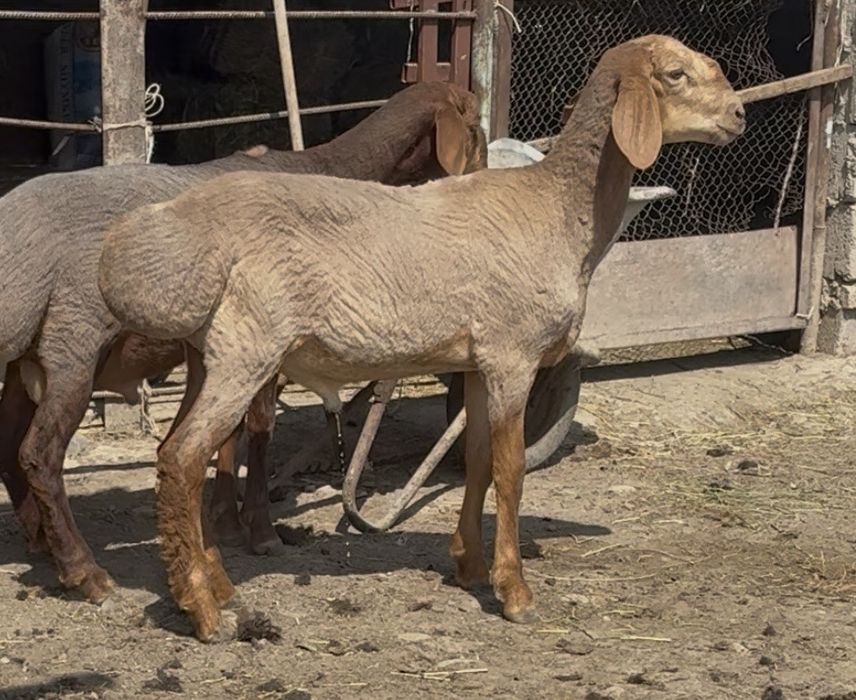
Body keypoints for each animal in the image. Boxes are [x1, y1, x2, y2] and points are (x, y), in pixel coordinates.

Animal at [0, 81, 485, 604]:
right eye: (475, 126)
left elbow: (229, 434)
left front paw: (223, 523)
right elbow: (259, 428)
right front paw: (260, 532)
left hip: (28, 354)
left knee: (11, 440)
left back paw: (41, 540)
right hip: (74, 340)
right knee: (39, 453)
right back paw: (84, 571)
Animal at [98, 35, 746, 641]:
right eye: (675, 74)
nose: (740, 114)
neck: (560, 211)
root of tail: (173, 232)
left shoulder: (479, 362)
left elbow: (478, 461)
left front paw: (470, 567)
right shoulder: (514, 354)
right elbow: (511, 469)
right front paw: (515, 592)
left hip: (209, 353)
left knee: (175, 452)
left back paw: (219, 586)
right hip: (247, 349)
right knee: (184, 457)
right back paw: (203, 611)